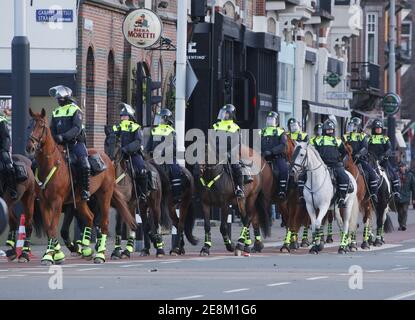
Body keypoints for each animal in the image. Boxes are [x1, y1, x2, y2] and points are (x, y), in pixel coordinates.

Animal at [26, 109, 136, 266]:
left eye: (41, 126)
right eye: (29, 125)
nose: (30, 147)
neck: (50, 164)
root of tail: (108, 160)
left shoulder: (57, 202)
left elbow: (53, 227)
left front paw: (51, 256)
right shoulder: (43, 203)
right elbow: (49, 228)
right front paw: (53, 255)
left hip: (104, 196)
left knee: (104, 223)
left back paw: (100, 255)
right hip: (80, 200)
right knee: (90, 218)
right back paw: (87, 251)